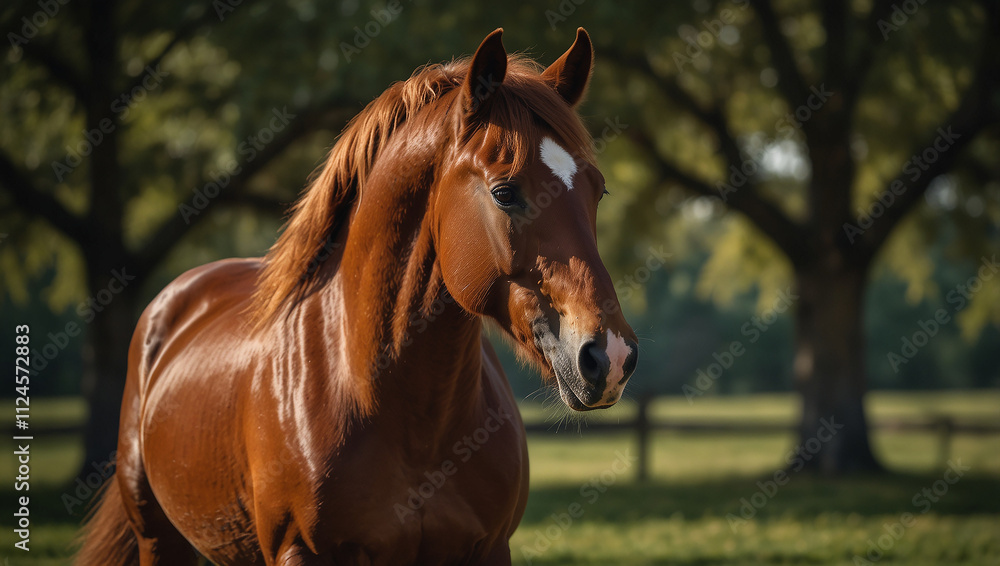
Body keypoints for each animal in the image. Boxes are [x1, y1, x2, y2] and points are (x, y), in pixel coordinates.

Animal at [75, 27, 638, 566]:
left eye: (599, 190)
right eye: (505, 192)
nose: (609, 355)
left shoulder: (490, 550)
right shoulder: (298, 552)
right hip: (158, 541)